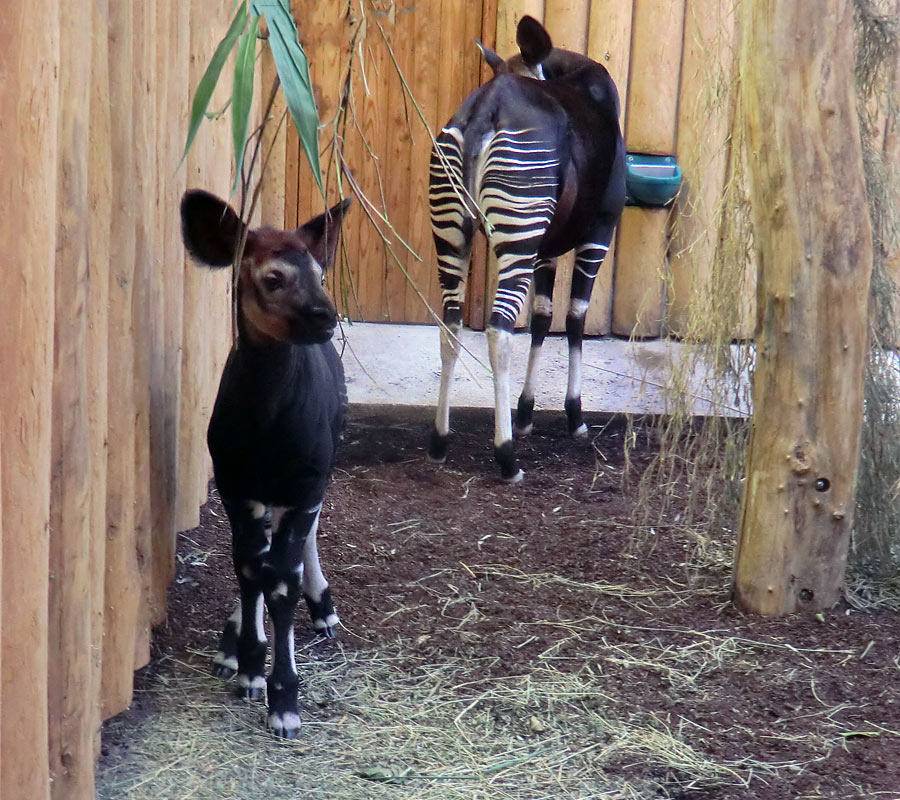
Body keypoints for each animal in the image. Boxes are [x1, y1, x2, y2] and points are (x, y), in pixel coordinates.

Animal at [181, 189, 350, 736]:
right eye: (272, 278)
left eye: (321, 273)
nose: (326, 318)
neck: (268, 433)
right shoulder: (237, 486)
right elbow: (251, 568)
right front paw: (251, 666)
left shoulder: (306, 484)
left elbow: (282, 583)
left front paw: (285, 701)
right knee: (260, 558)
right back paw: (232, 645)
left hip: (319, 473)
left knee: (297, 550)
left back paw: (323, 609)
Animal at [426, 15, 624, 482]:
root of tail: (484, 108)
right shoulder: (600, 228)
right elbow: (574, 317)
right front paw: (574, 417)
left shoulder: (545, 246)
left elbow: (542, 316)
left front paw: (528, 412)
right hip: (519, 229)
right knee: (499, 330)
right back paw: (507, 457)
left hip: (453, 229)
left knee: (450, 324)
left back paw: (440, 441)